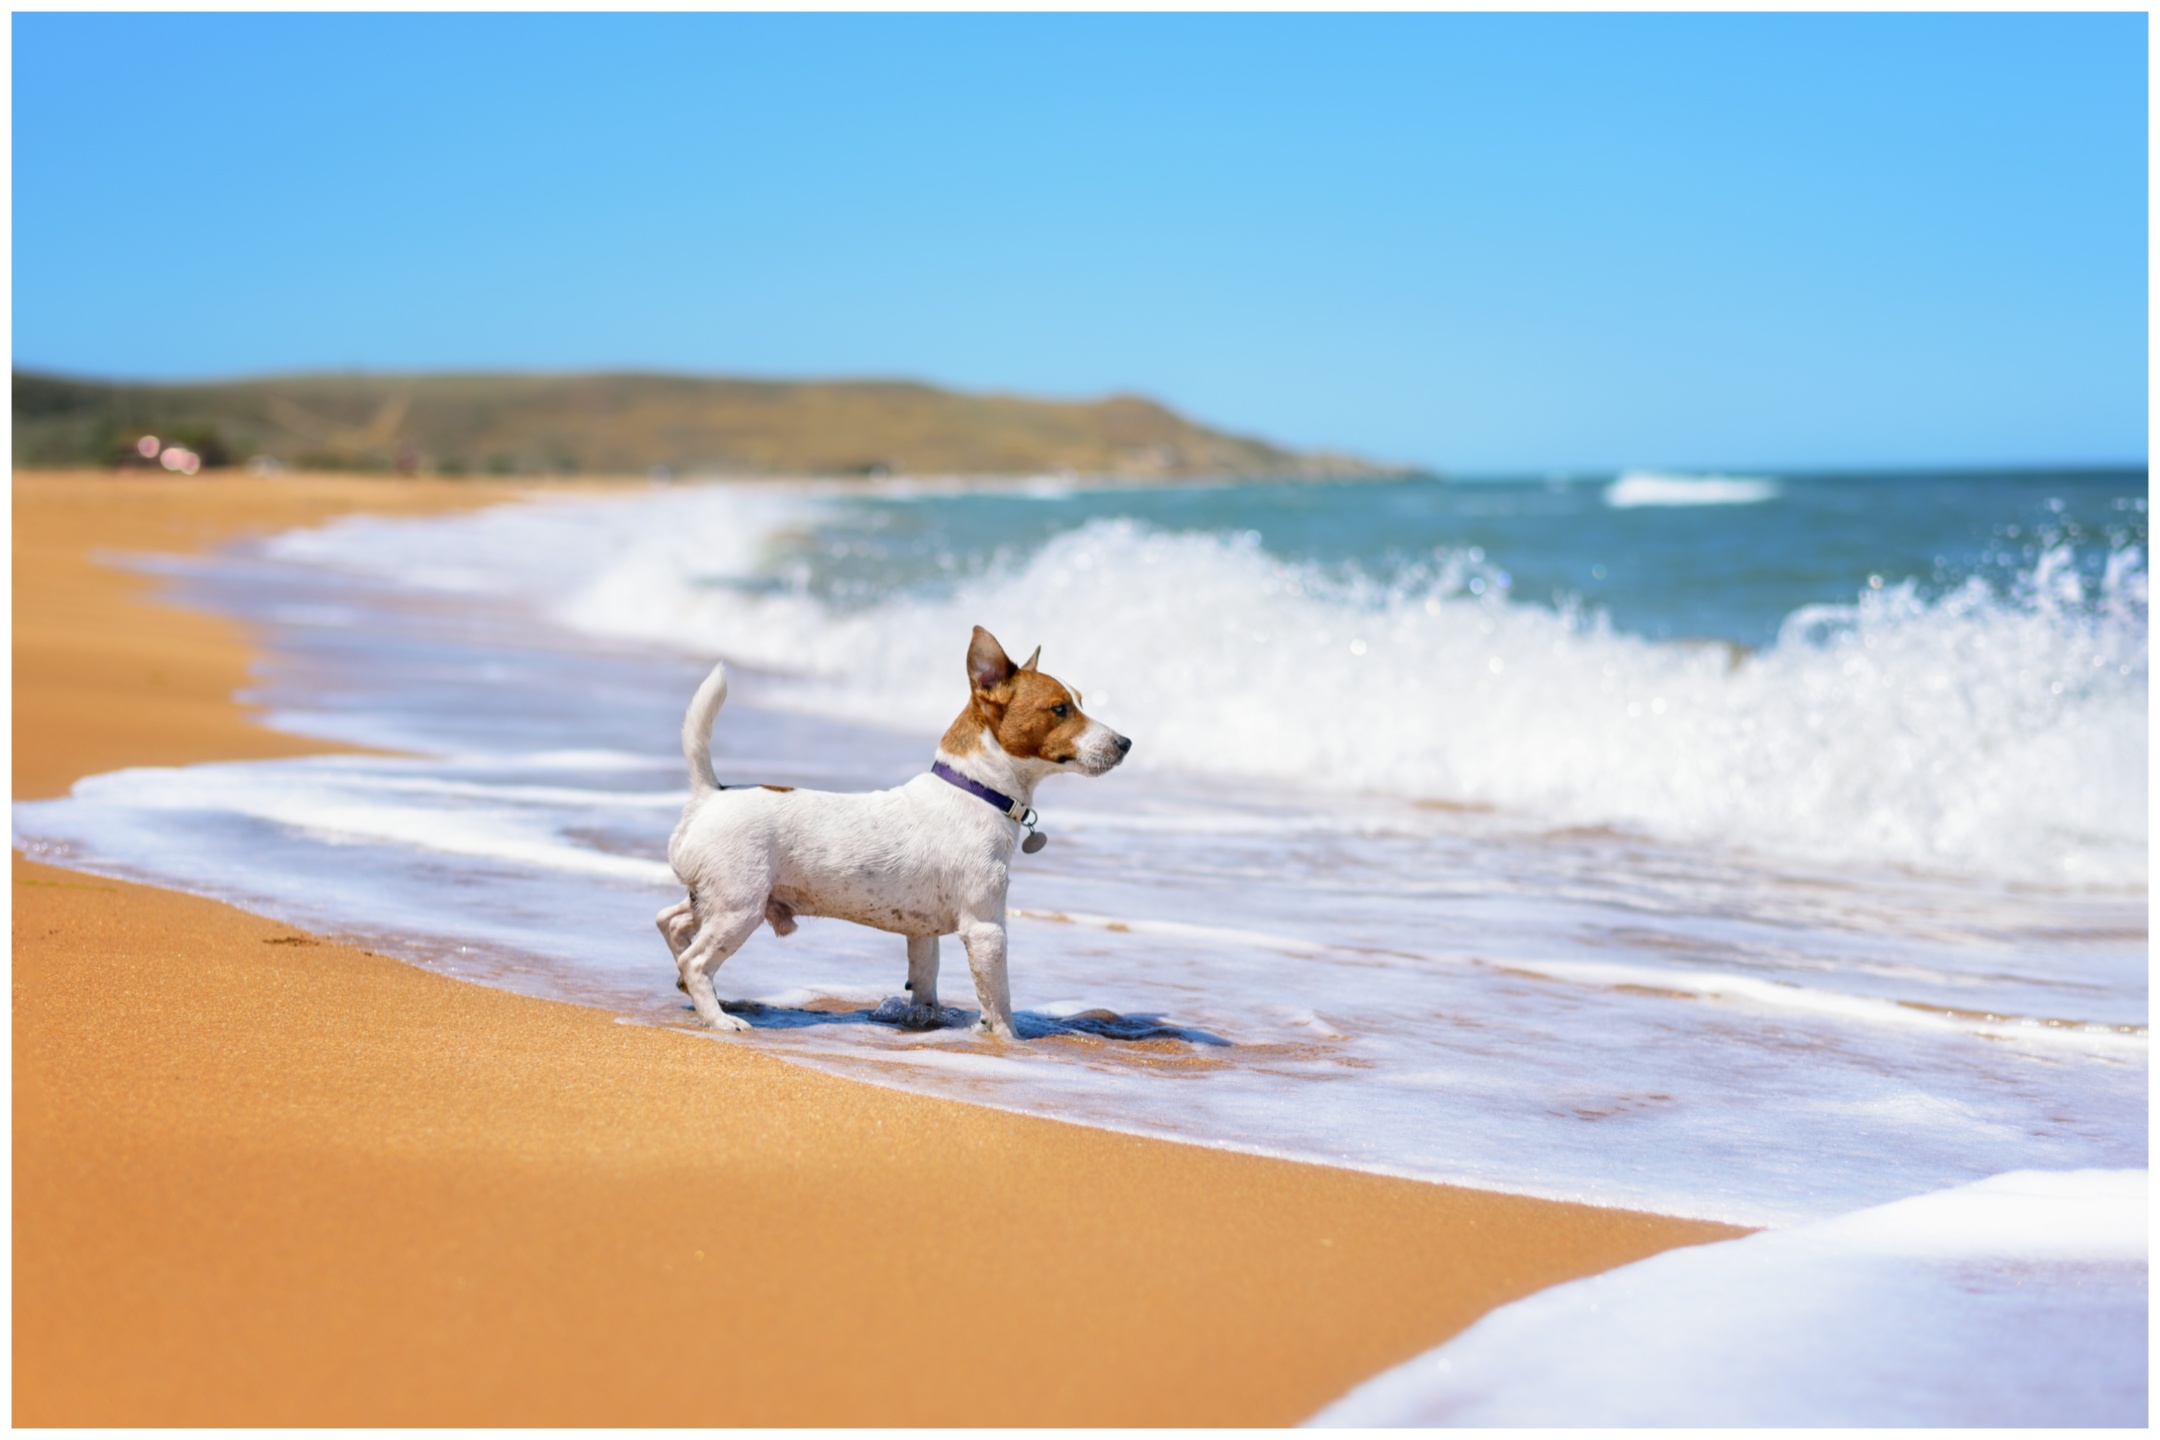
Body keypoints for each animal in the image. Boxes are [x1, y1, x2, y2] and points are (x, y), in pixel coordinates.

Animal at [656, 626, 1131, 1040]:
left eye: (1080, 701)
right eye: (1060, 709)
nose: (1126, 743)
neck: (975, 790)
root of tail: (710, 794)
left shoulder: (922, 933)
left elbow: (925, 981)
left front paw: (927, 1017)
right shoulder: (987, 930)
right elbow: (998, 1003)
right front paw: (1008, 1040)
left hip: (714, 899)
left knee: (671, 922)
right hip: (740, 907)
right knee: (696, 960)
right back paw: (718, 1017)